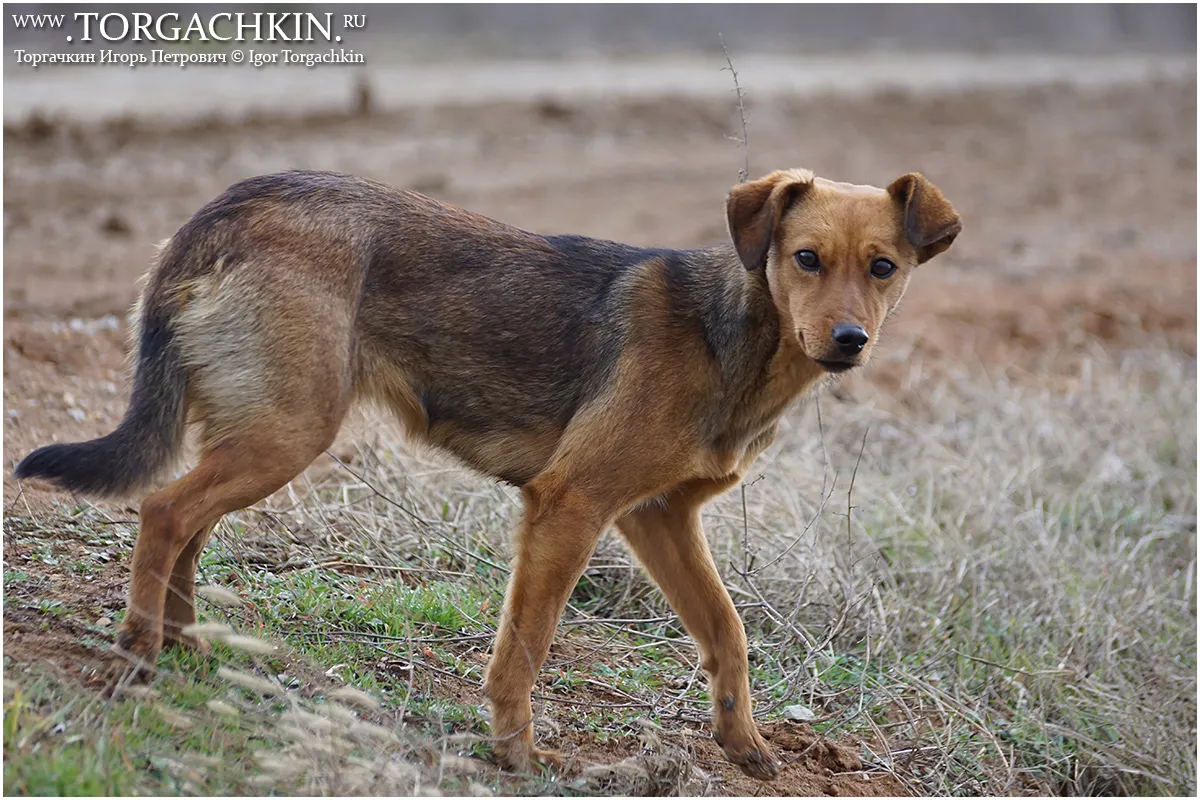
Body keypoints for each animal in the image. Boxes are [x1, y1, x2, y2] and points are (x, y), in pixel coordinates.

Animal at [14, 167, 960, 777]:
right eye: (806, 259)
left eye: (883, 268)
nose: (849, 342)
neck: (732, 334)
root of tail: (230, 204)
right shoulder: (571, 505)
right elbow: (527, 646)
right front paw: (517, 751)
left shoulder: (659, 517)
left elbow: (727, 632)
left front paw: (743, 743)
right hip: (286, 434)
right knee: (165, 513)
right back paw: (139, 652)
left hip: (258, 430)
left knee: (189, 526)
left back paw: (188, 645)